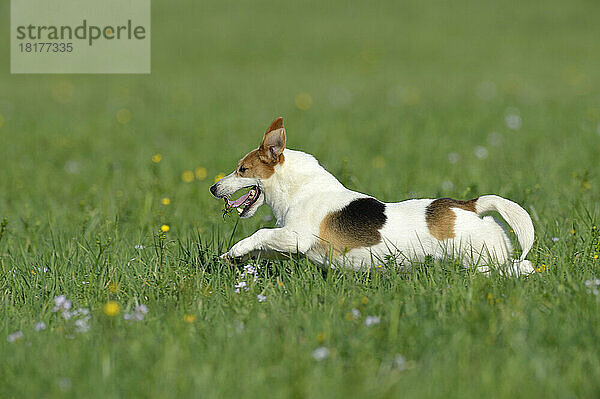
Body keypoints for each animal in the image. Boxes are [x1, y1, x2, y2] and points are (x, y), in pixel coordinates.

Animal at [210, 117, 536, 276]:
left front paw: (236, 248)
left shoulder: (295, 237)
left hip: (482, 258)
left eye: (241, 169)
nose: (214, 188)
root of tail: (469, 206)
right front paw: (232, 257)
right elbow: (262, 246)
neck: (300, 189)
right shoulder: (288, 245)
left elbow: (260, 234)